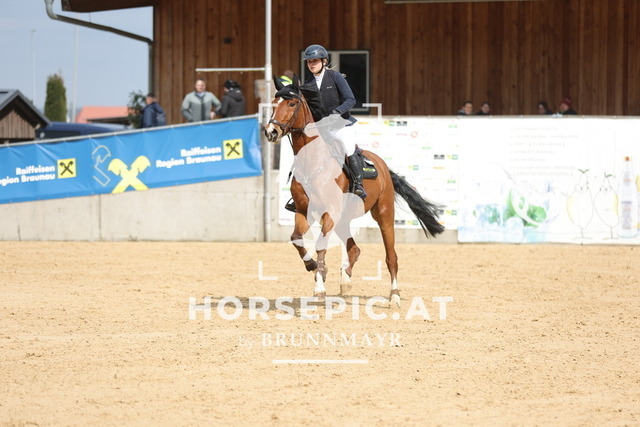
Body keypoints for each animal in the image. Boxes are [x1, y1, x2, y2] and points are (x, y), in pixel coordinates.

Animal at [264, 77, 444, 307]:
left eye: (292, 103)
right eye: (273, 103)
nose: (271, 132)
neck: (312, 162)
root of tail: (382, 164)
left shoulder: (330, 212)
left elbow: (321, 246)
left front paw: (319, 287)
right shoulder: (304, 211)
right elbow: (296, 238)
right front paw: (314, 268)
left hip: (384, 214)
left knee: (391, 257)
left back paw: (394, 295)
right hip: (342, 220)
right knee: (354, 249)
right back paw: (345, 280)